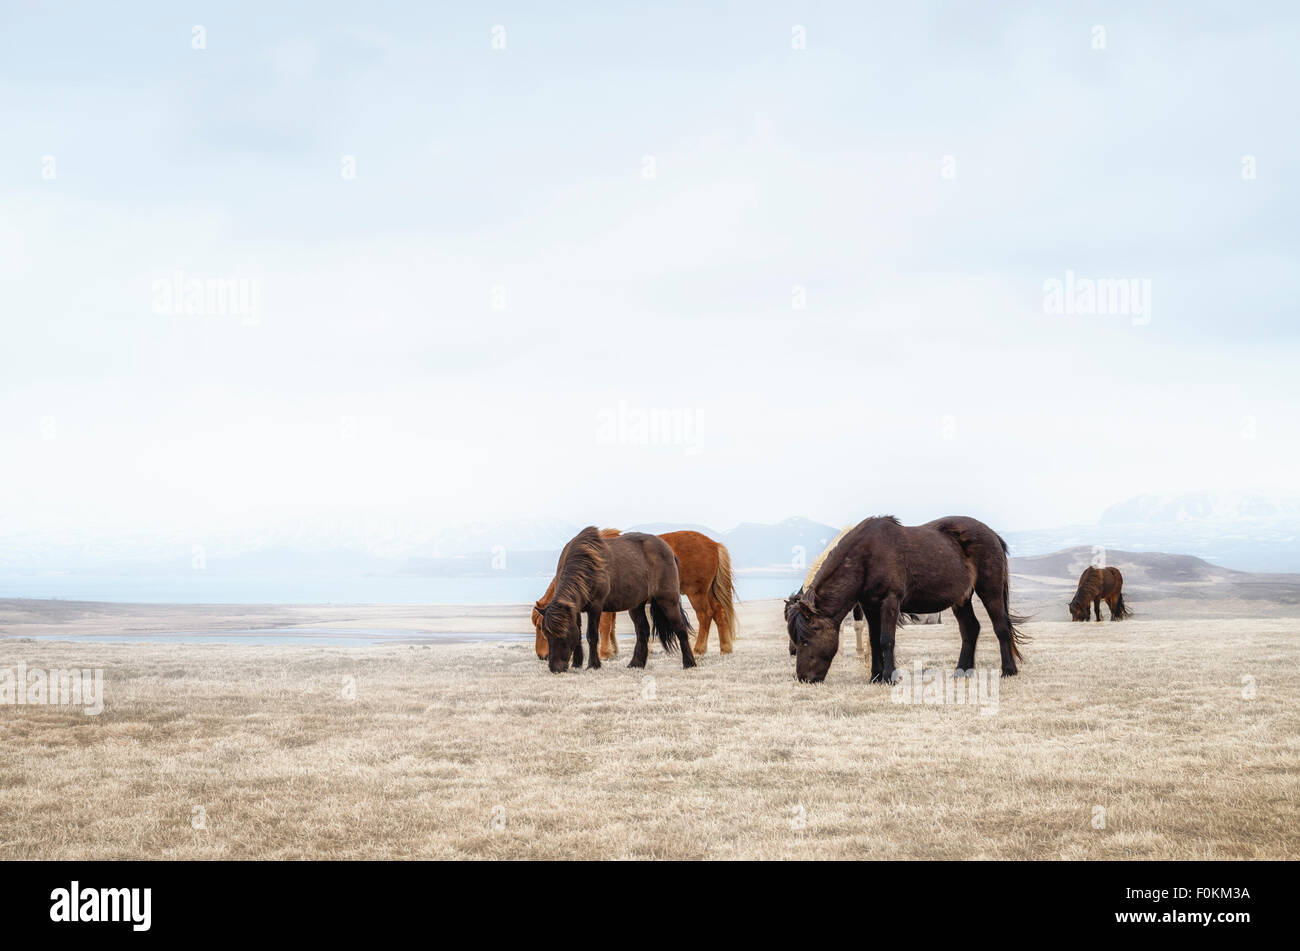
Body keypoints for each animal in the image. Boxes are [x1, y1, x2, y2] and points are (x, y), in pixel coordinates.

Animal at [535, 527, 743, 659]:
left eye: (539, 628)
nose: (542, 656)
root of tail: (714, 544)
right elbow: (611, 628)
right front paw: (613, 651)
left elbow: (604, 627)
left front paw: (605, 653)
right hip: (707, 591)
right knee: (719, 612)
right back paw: (725, 648)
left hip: (696, 593)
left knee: (705, 615)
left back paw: (699, 649)